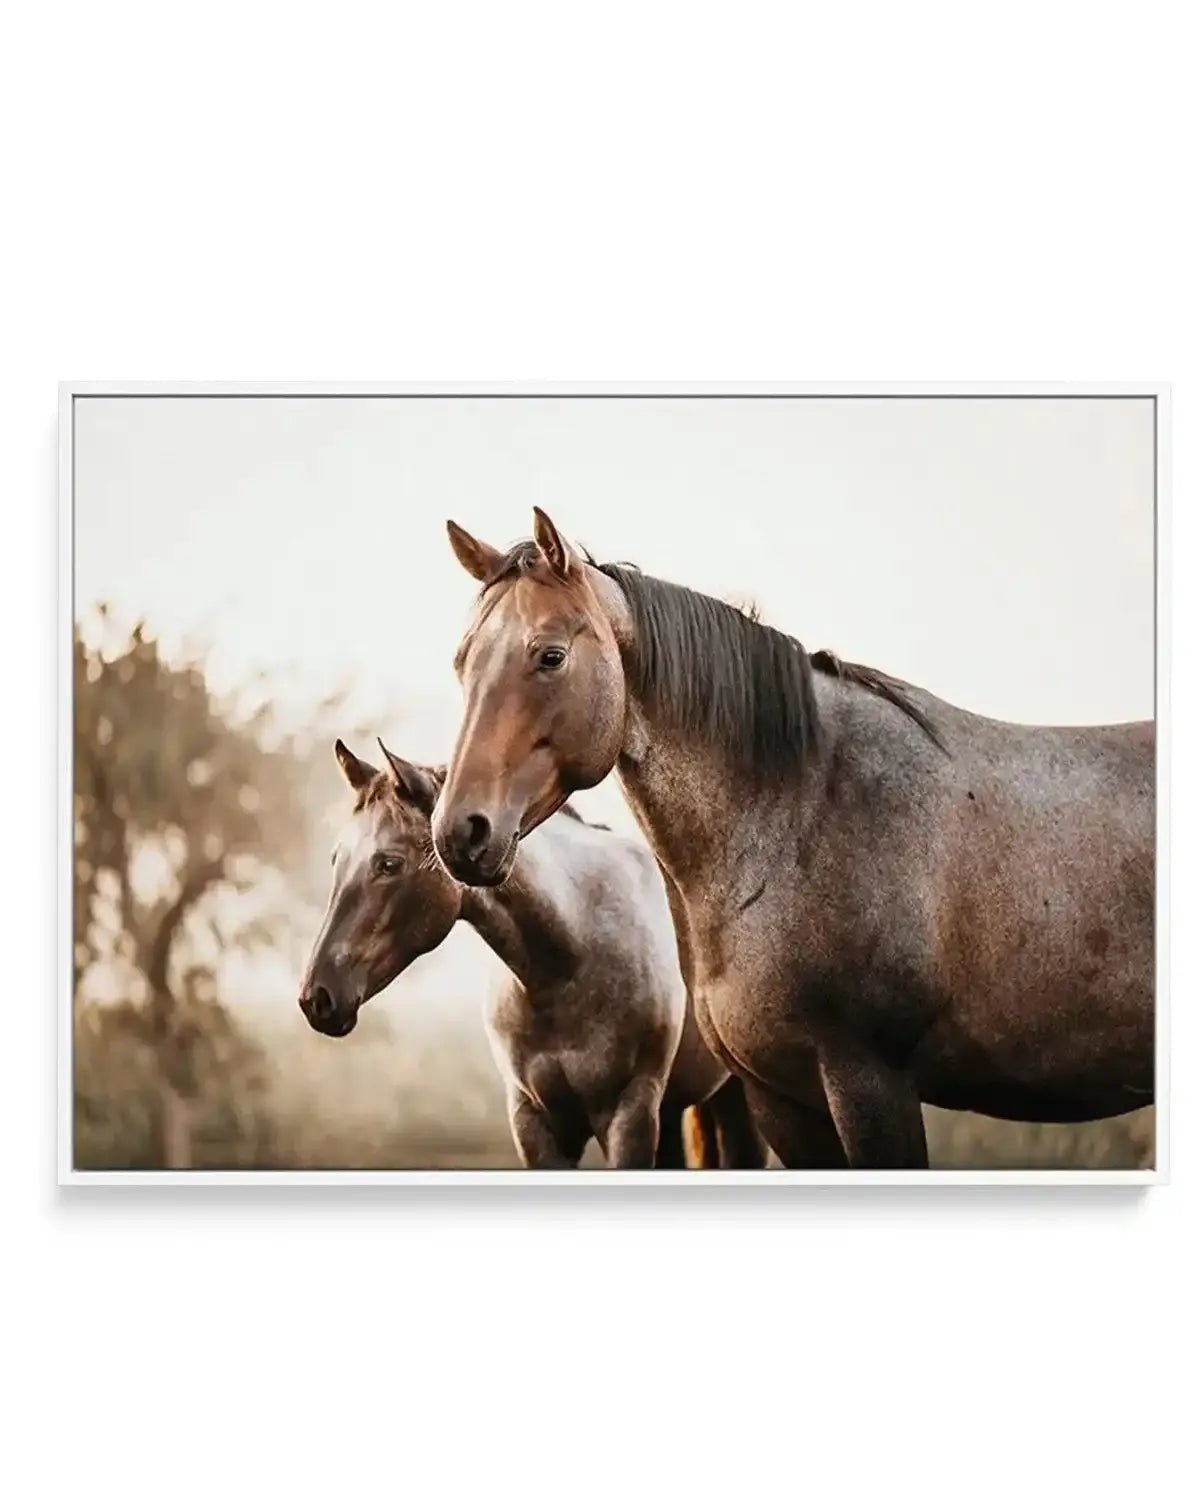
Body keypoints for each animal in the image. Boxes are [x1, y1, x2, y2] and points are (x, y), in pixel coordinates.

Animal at [298, 737, 766, 1169]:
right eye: (336, 859)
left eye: (390, 863)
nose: (316, 998)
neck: (568, 965)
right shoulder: (534, 1121)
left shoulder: (629, 1115)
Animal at [430, 508, 1155, 1170]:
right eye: (462, 664)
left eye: (550, 656)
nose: (460, 831)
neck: (799, 815)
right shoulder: (781, 1097)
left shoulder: (870, 1083)